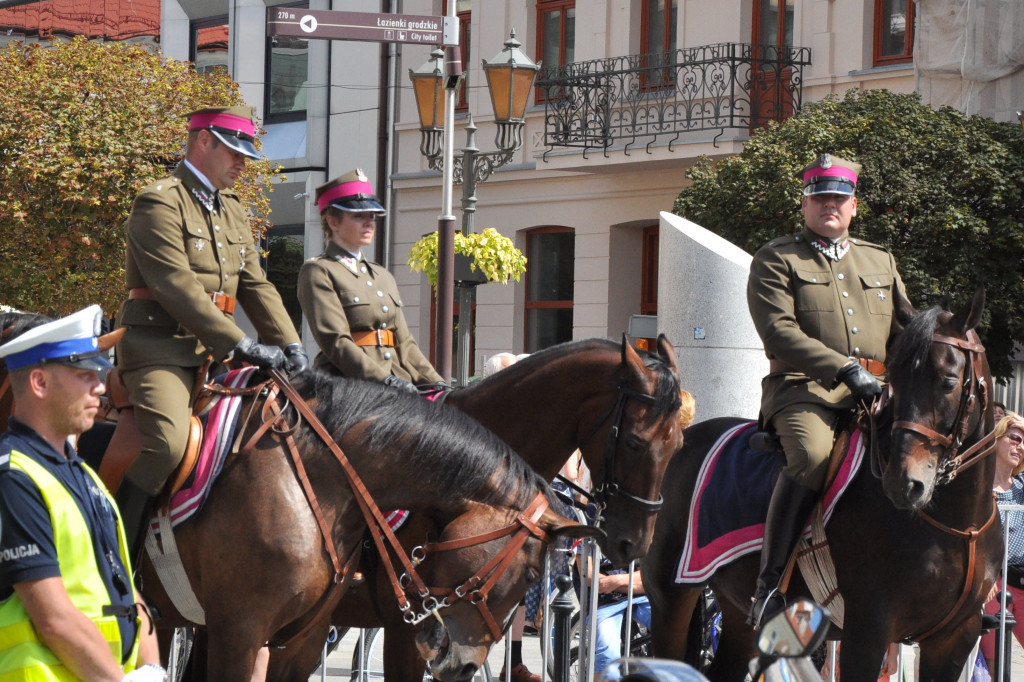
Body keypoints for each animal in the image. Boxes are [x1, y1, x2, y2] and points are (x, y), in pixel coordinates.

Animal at [643, 288, 1003, 679]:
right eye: (894, 378)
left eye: (949, 381)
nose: (903, 483)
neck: (957, 527)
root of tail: (682, 439)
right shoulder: (867, 631)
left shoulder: (955, 638)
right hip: (669, 597)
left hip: (738, 615)